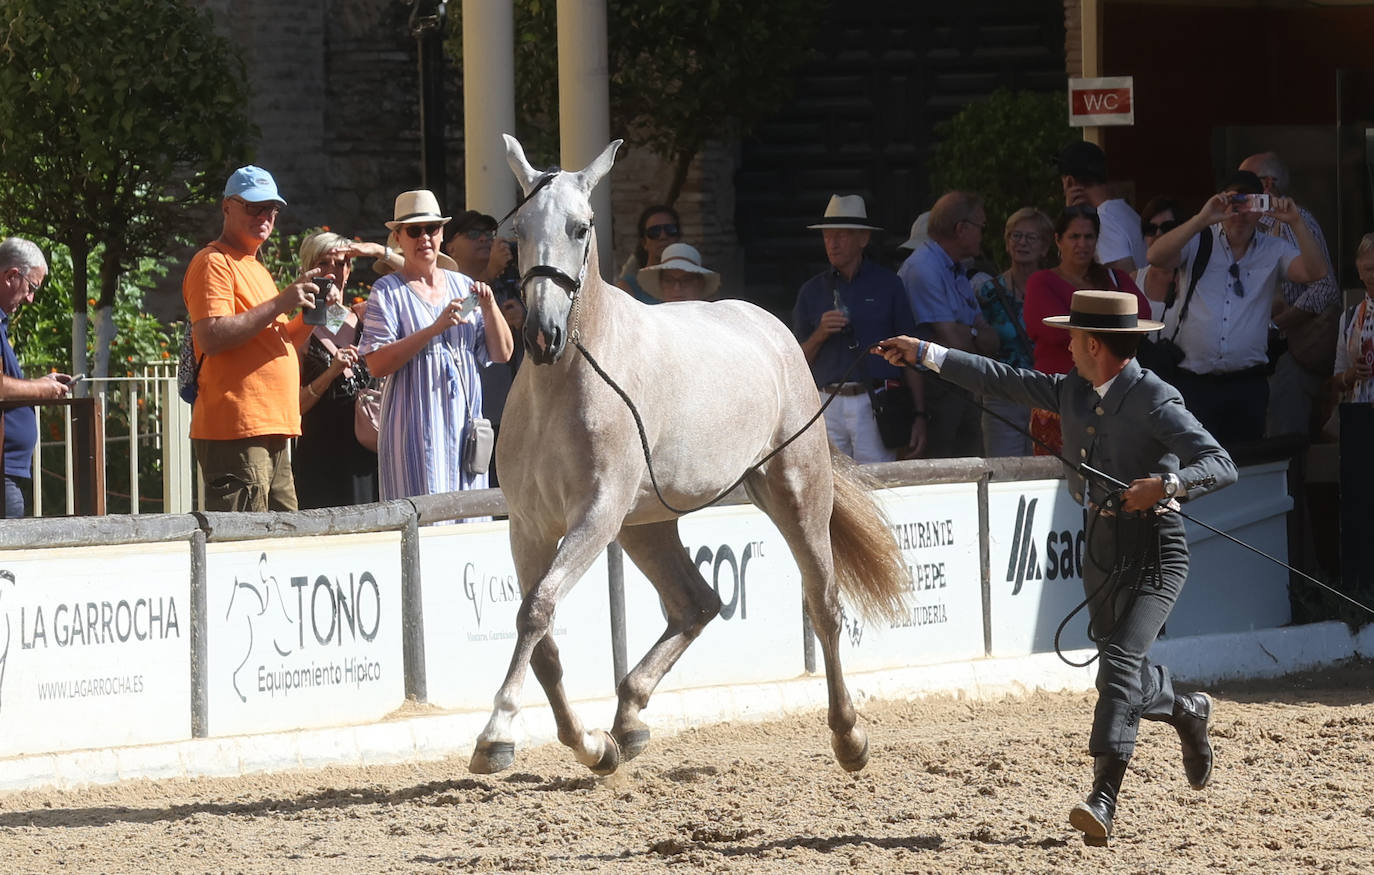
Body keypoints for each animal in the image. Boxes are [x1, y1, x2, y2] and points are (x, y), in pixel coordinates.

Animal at [468, 134, 908, 777]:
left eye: (581, 226)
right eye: (518, 230)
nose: (543, 335)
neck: (566, 385)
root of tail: (771, 327)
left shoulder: (594, 516)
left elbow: (537, 611)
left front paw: (497, 731)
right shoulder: (529, 526)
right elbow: (541, 634)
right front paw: (590, 745)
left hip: (795, 492)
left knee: (823, 604)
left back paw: (848, 736)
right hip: (647, 525)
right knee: (697, 603)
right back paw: (628, 719)